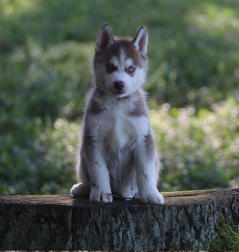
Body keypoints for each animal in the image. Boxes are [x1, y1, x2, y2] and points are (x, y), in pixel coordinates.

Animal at [70, 23, 164, 204]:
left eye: (131, 69)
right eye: (110, 67)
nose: (119, 84)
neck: (117, 105)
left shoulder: (143, 138)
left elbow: (145, 172)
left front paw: (150, 194)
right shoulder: (93, 138)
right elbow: (98, 170)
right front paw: (101, 193)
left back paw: (132, 191)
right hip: (82, 159)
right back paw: (83, 187)